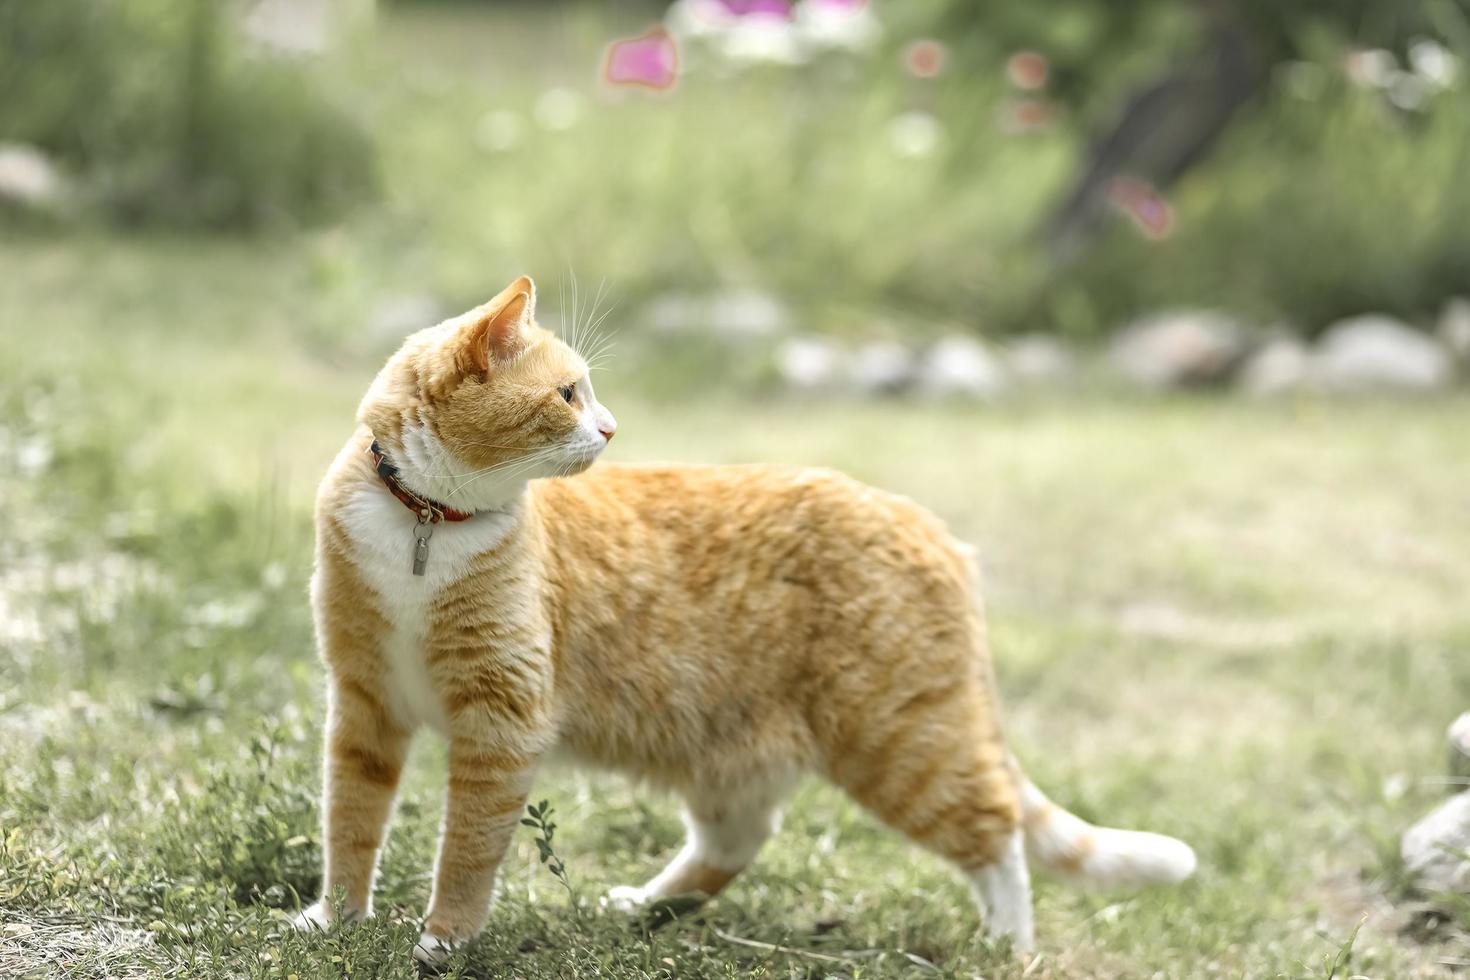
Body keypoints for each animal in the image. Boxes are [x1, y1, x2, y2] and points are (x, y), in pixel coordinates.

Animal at [289, 276, 1193, 963]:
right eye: (569, 395)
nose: (611, 427)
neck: (425, 522)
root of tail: (924, 521)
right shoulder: (363, 707)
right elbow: (350, 823)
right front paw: (336, 922)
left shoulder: (500, 725)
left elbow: (467, 852)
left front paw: (443, 941)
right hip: (730, 748)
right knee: (740, 838)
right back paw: (639, 908)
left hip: (900, 743)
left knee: (994, 831)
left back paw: (1007, 943)